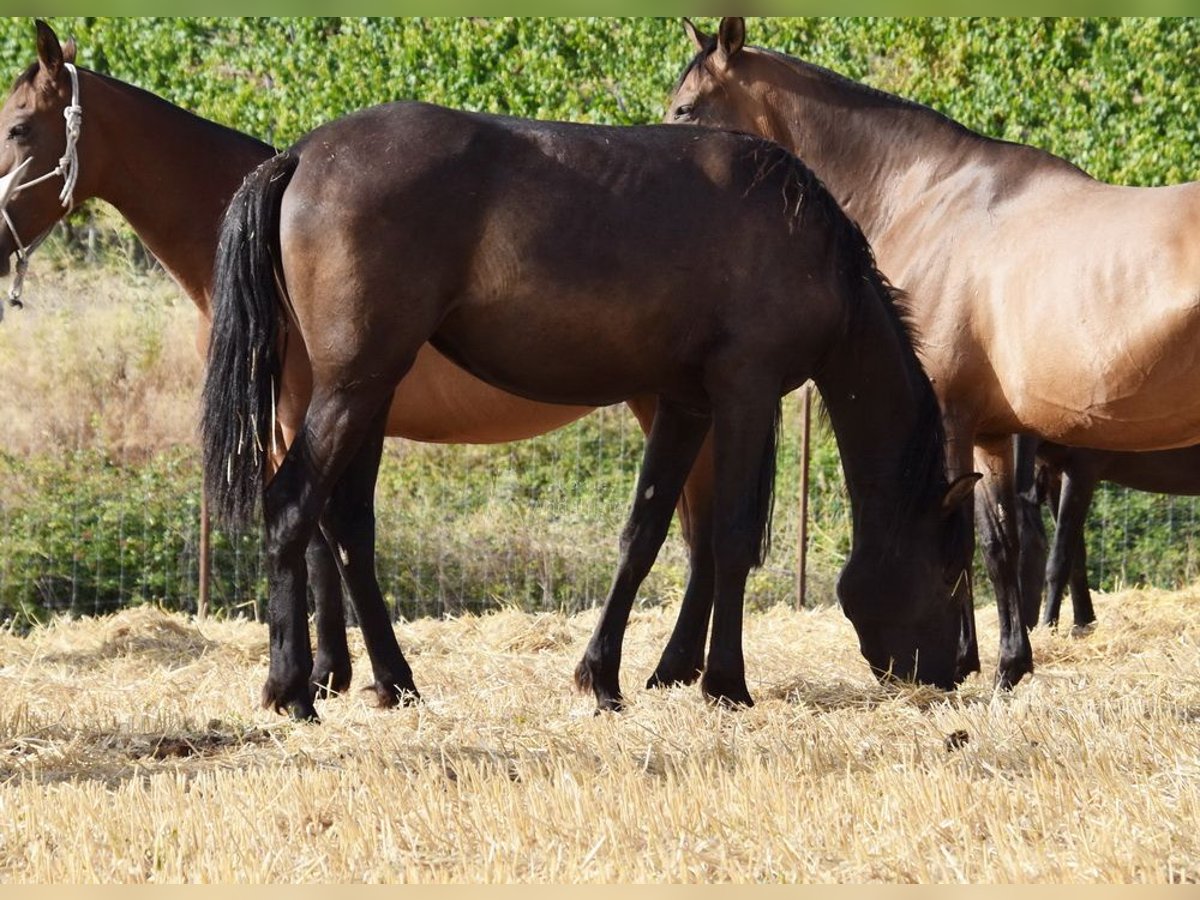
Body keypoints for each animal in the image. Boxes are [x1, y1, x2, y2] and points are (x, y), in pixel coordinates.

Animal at [0, 21, 720, 710]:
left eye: (17, 127)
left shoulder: (341, 406)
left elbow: (338, 531)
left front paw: (350, 676)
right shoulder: (303, 418)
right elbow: (328, 533)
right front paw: (332, 673)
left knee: (698, 525)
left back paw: (680, 667)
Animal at [201, 97, 979, 720]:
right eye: (949, 572)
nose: (956, 672)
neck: (806, 240)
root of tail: (301, 155)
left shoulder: (685, 405)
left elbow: (645, 533)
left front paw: (602, 678)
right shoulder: (745, 395)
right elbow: (730, 540)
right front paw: (725, 684)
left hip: (368, 392)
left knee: (348, 528)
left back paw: (395, 682)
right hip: (354, 389)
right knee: (293, 507)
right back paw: (293, 689)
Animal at [672, 14, 1200, 691]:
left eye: (686, 108)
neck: (927, 193)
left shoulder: (950, 414)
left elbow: (963, 539)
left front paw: (967, 659)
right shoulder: (994, 431)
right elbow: (1002, 544)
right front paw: (1009, 665)